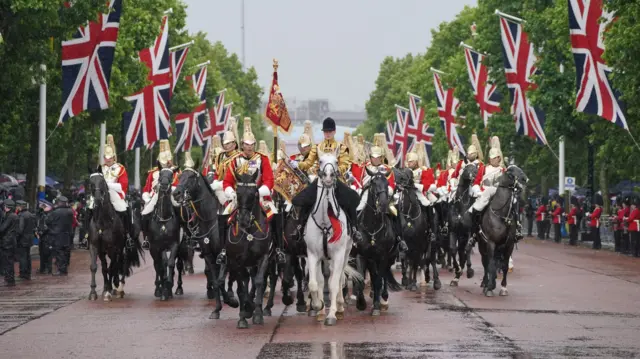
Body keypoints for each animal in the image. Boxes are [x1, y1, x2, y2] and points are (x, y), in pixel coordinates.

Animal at [85, 167, 143, 302]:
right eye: (90, 183)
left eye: (102, 182)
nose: (97, 199)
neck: (103, 221)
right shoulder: (95, 246)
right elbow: (97, 267)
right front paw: (94, 292)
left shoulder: (113, 247)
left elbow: (112, 267)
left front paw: (108, 292)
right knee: (112, 265)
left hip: (124, 247)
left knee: (122, 263)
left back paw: (119, 287)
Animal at [172, 167, 238, 320]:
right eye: (180, 176)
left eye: (191, 177)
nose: (176, 193)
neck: (211, 219)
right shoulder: (209, 255)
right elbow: (216, 281)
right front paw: (217, 309)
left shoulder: (224, 256)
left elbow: (220, 280)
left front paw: (231, 302)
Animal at [304, 148, 360, 324]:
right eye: (320, 161)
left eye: (336, 161)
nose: (328, 177)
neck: (324, 220)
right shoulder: (312, 255)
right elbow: (314, 283)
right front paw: (318, 306)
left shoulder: (338, 254)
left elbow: (335, 283)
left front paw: (332, 314)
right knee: (324, 280)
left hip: (345, 253)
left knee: (340, 277)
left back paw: (340, 307)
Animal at [472, 166, 528, 298]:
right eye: (510, 172)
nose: (525, 179)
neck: (502, 215)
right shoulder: (491, 242)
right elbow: (491, 264)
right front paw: (490, 287)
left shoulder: (509, 245)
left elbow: (505, 265)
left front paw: (503, 288)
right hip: (482, 244)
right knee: (486, 262)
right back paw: (485, 283)